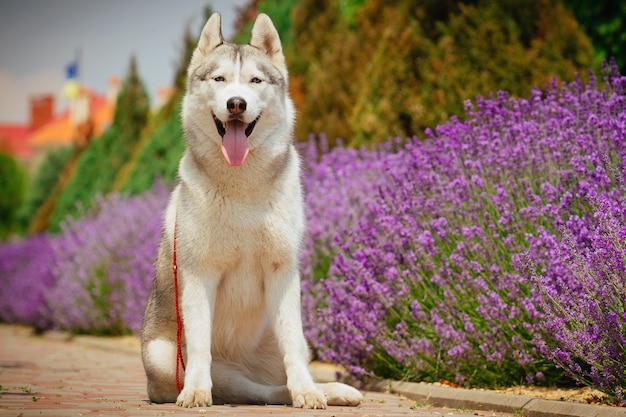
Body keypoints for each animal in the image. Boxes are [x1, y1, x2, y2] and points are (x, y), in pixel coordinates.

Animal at [140, 11, 360, 408]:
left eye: (255, 80)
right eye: (220, 79)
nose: (236, 104)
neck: (241, 185)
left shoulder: (282, 270)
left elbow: (293, 346)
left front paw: (308, 391)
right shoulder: (199, 274)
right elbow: (199, 346)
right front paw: (195, 391)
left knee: (280, 378)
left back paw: (325, 390)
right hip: (166, 356)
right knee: (257, 390)